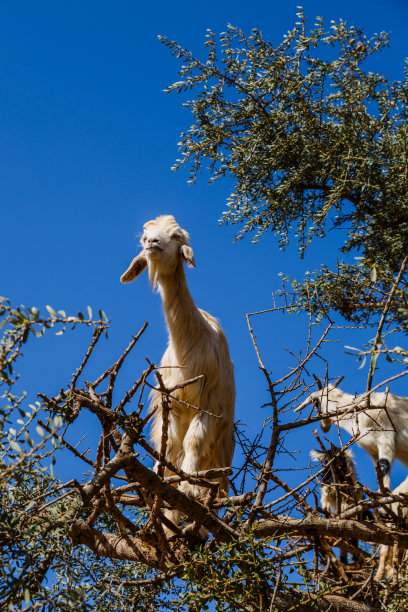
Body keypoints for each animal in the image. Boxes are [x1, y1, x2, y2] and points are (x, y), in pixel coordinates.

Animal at [120, 215, 236, 536]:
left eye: (175, 236)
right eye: (144, 236)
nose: (152, 242)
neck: (190, 343)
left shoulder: (209, 405)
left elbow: (193, 442)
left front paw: (190, 488)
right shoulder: (168, 404)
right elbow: (170, 446)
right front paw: (166, 487)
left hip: (222, 454)